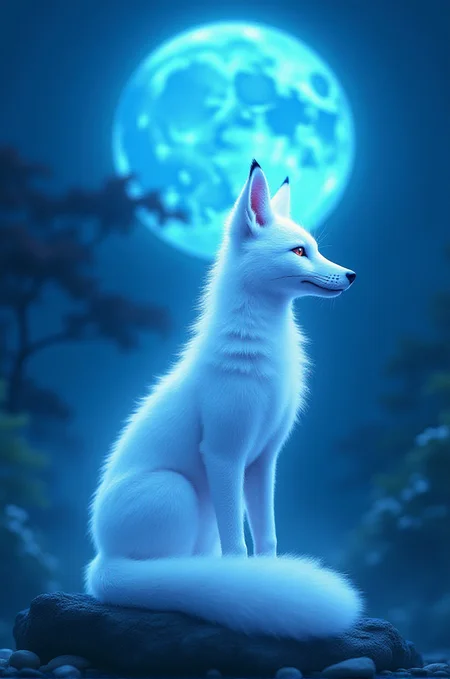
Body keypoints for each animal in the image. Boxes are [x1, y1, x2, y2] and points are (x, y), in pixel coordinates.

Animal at [85, 159, 362, 640]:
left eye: (315, 248)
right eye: (299, 252)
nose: (350, 275)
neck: (264, 355)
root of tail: (99, 564)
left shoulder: (264, 459)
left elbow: (267, 538)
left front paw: (268, 579)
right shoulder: (223, 452)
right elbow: (238, 545)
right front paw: (248, 583)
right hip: (177, 492)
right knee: (163, 572)